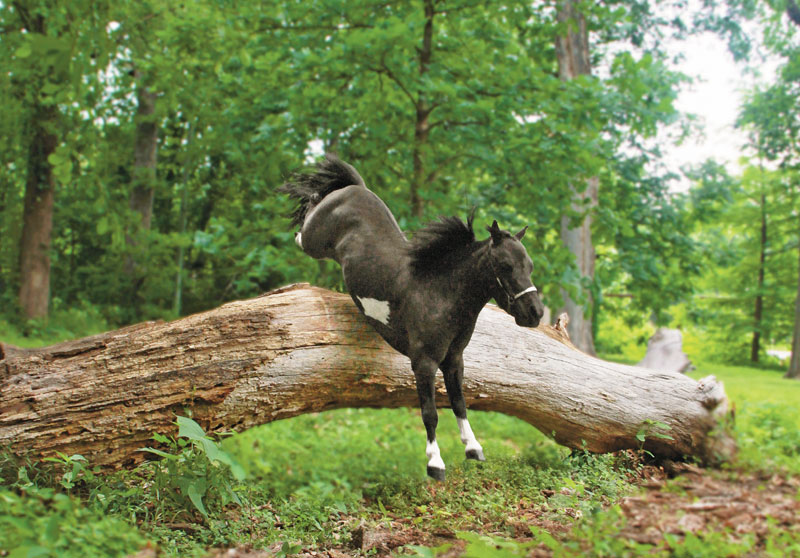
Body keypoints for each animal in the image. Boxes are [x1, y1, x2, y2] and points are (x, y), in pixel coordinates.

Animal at [282, 154, 544, 482]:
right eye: (507, 265)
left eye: (529, 265)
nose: (536, 312)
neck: (440, 293)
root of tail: (355, 187)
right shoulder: (424, 362)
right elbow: (430, 413)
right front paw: (435, 464)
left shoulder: (454, 359)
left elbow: (459, 402)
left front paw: (473, 448)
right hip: (313, 240)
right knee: (302, 226)